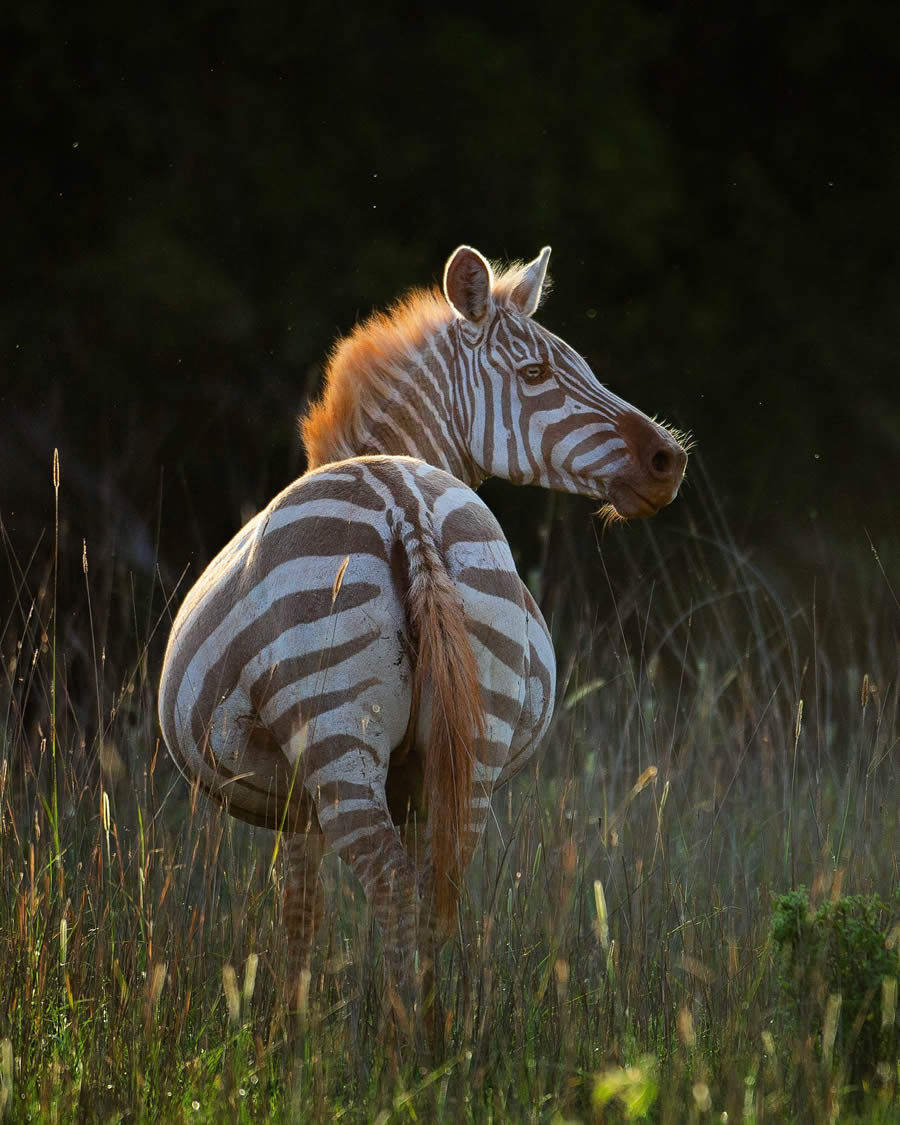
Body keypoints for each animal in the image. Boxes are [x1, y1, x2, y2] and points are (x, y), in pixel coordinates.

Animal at [156, 246, 688, 1021]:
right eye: (537, 374)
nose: (668, 461)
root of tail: (405, 505)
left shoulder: (300, 807)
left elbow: (299, 915)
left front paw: (288, 1033)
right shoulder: (408, 780)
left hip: (335, 736)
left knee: (391, 886)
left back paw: (397, 1044)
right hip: (477, 737)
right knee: (439, 895)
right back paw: (432, 1041)